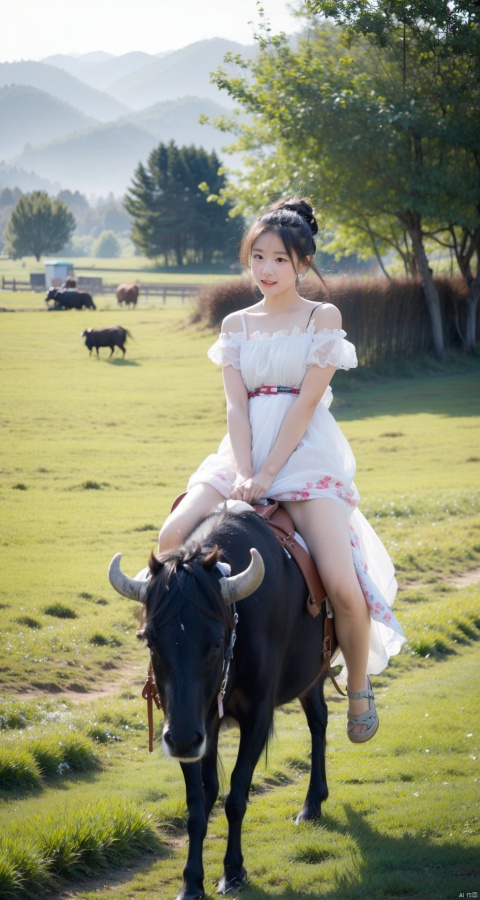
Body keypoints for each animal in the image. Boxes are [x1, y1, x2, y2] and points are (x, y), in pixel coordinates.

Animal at [109, 506, 328, 900]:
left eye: (215, 641)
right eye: (150, 641)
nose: (182, 738)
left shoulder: (257, 716)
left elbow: (236, 795)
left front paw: (233, 871)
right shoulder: (194, 726)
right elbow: (199, 801)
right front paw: (191, 881)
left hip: (313, 673)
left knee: (319, 722)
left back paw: (311, 804)